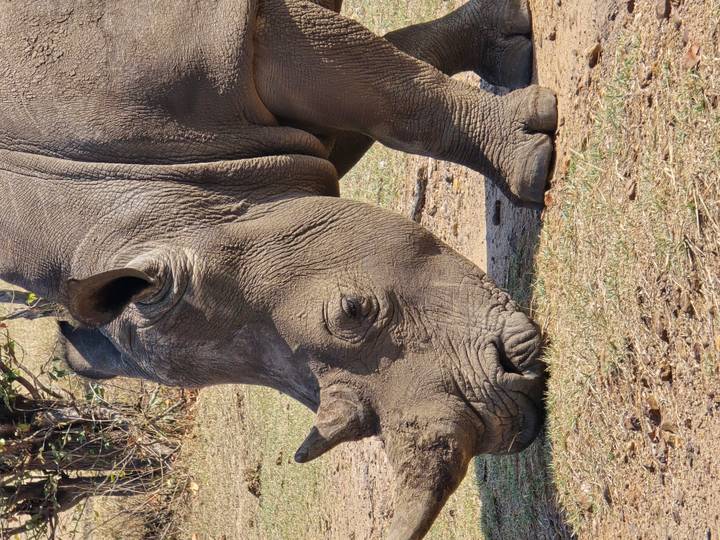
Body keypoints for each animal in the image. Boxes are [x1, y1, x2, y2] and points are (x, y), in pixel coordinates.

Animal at [0, 0, 556, 537]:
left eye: (352, 309)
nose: (505, 422)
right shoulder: (248, 152)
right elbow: (384, 85)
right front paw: (509, 50)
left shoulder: (222, 40)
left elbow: (393, 96)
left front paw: (530, 163)